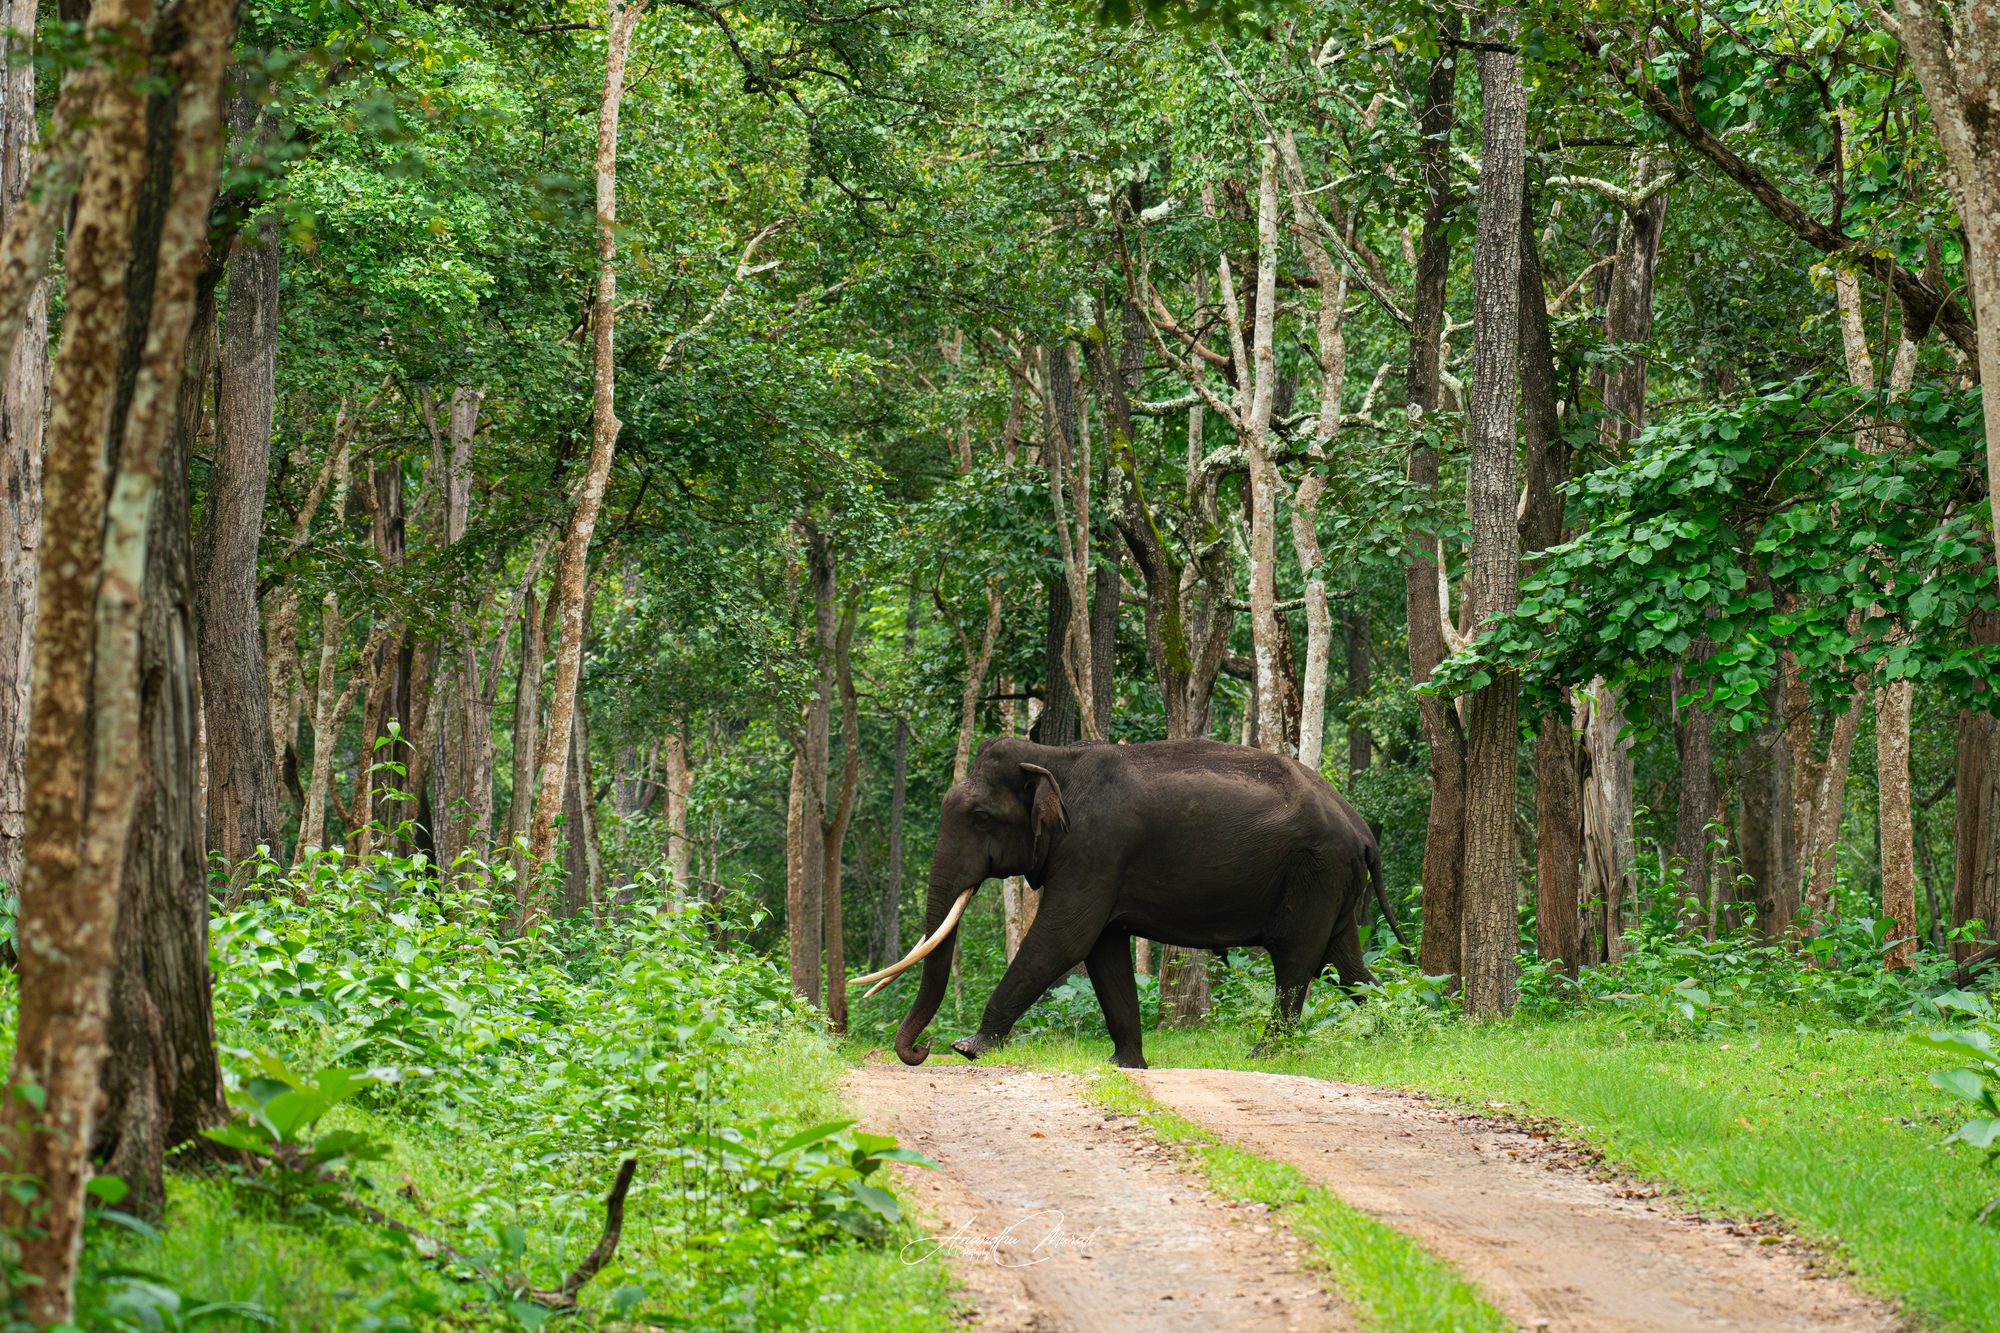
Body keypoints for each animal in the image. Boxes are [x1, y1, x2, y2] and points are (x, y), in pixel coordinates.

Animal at [850, 735, 1401, 1070]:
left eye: (981, 818)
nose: (921, 1049)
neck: (1055, 757)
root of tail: (1363, 831)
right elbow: (1102, 952)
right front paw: (1126, 1065)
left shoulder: (1096, 848)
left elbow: (1063, 940)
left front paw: (970, 1048)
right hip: (1333, 884)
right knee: (1347, 965)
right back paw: (1393, 1033)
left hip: (1315, 873)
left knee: (1297, 961)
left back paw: (1262, 1056)